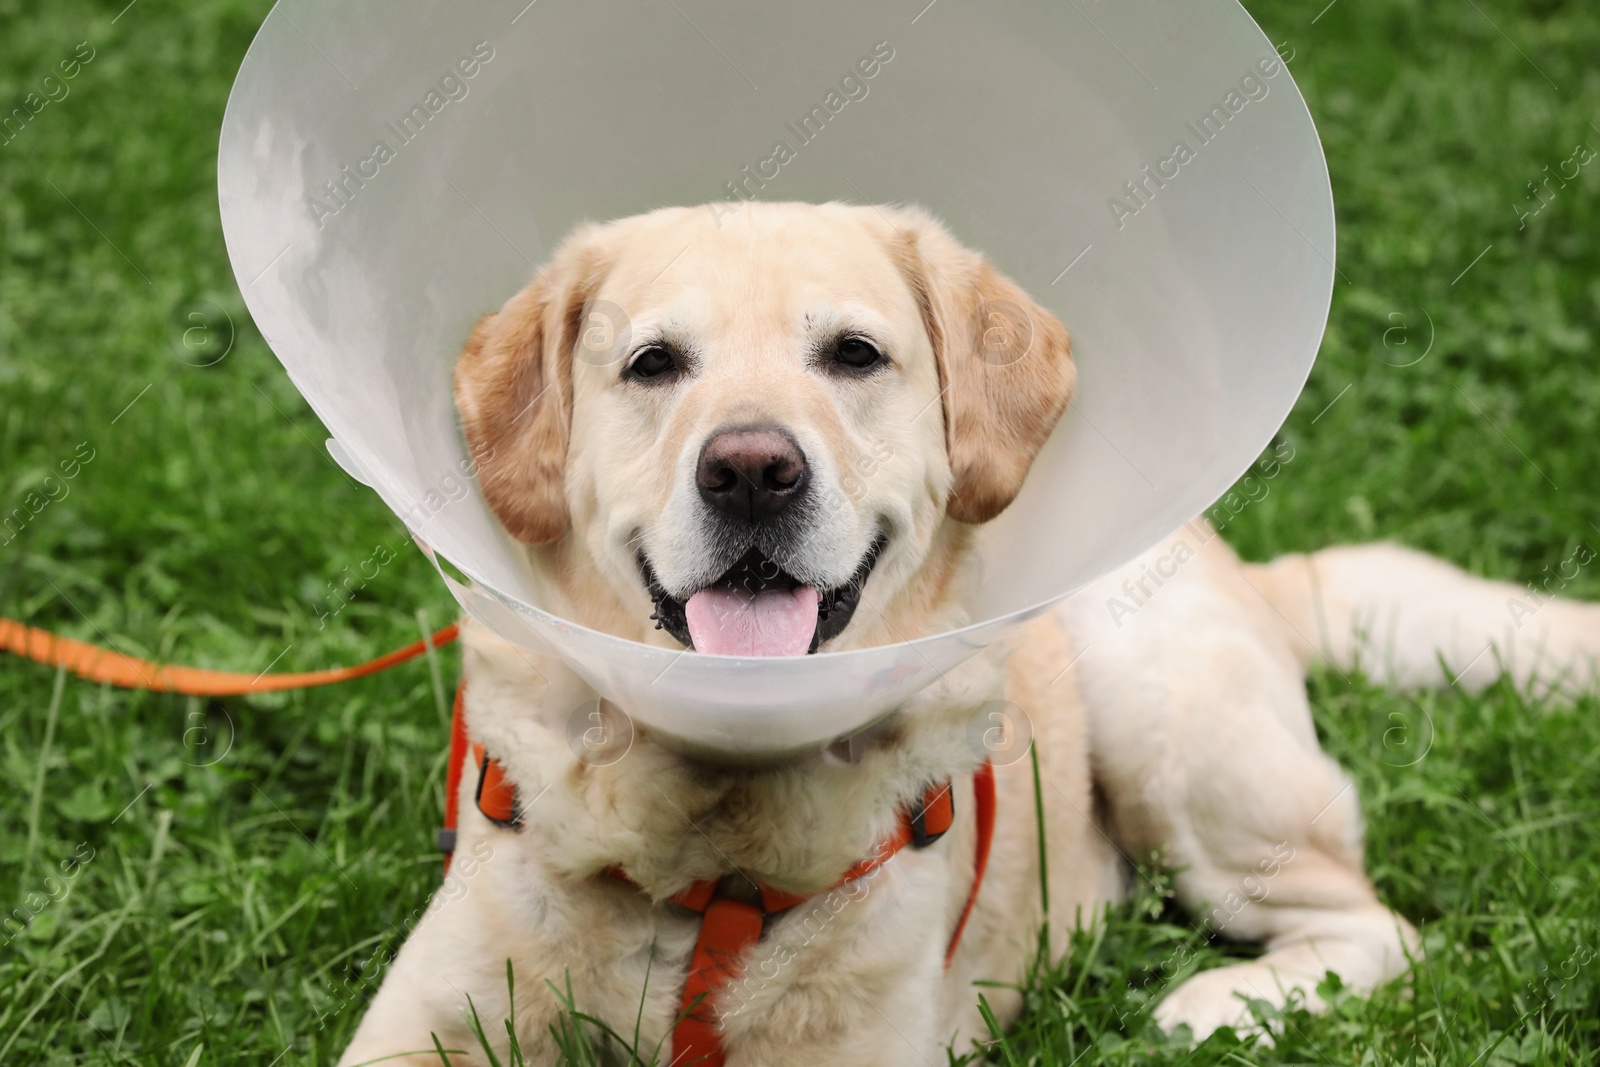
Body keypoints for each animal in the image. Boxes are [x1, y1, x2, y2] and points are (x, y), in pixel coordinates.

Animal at [340, 202, 1600, 1067]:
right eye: (653, 364)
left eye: (853, 353)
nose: (750, 470)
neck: (709, 848)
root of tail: (1243, 563)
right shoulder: (428, 1019)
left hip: (1172, 731)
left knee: (1373, 922)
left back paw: (1221, 1005)